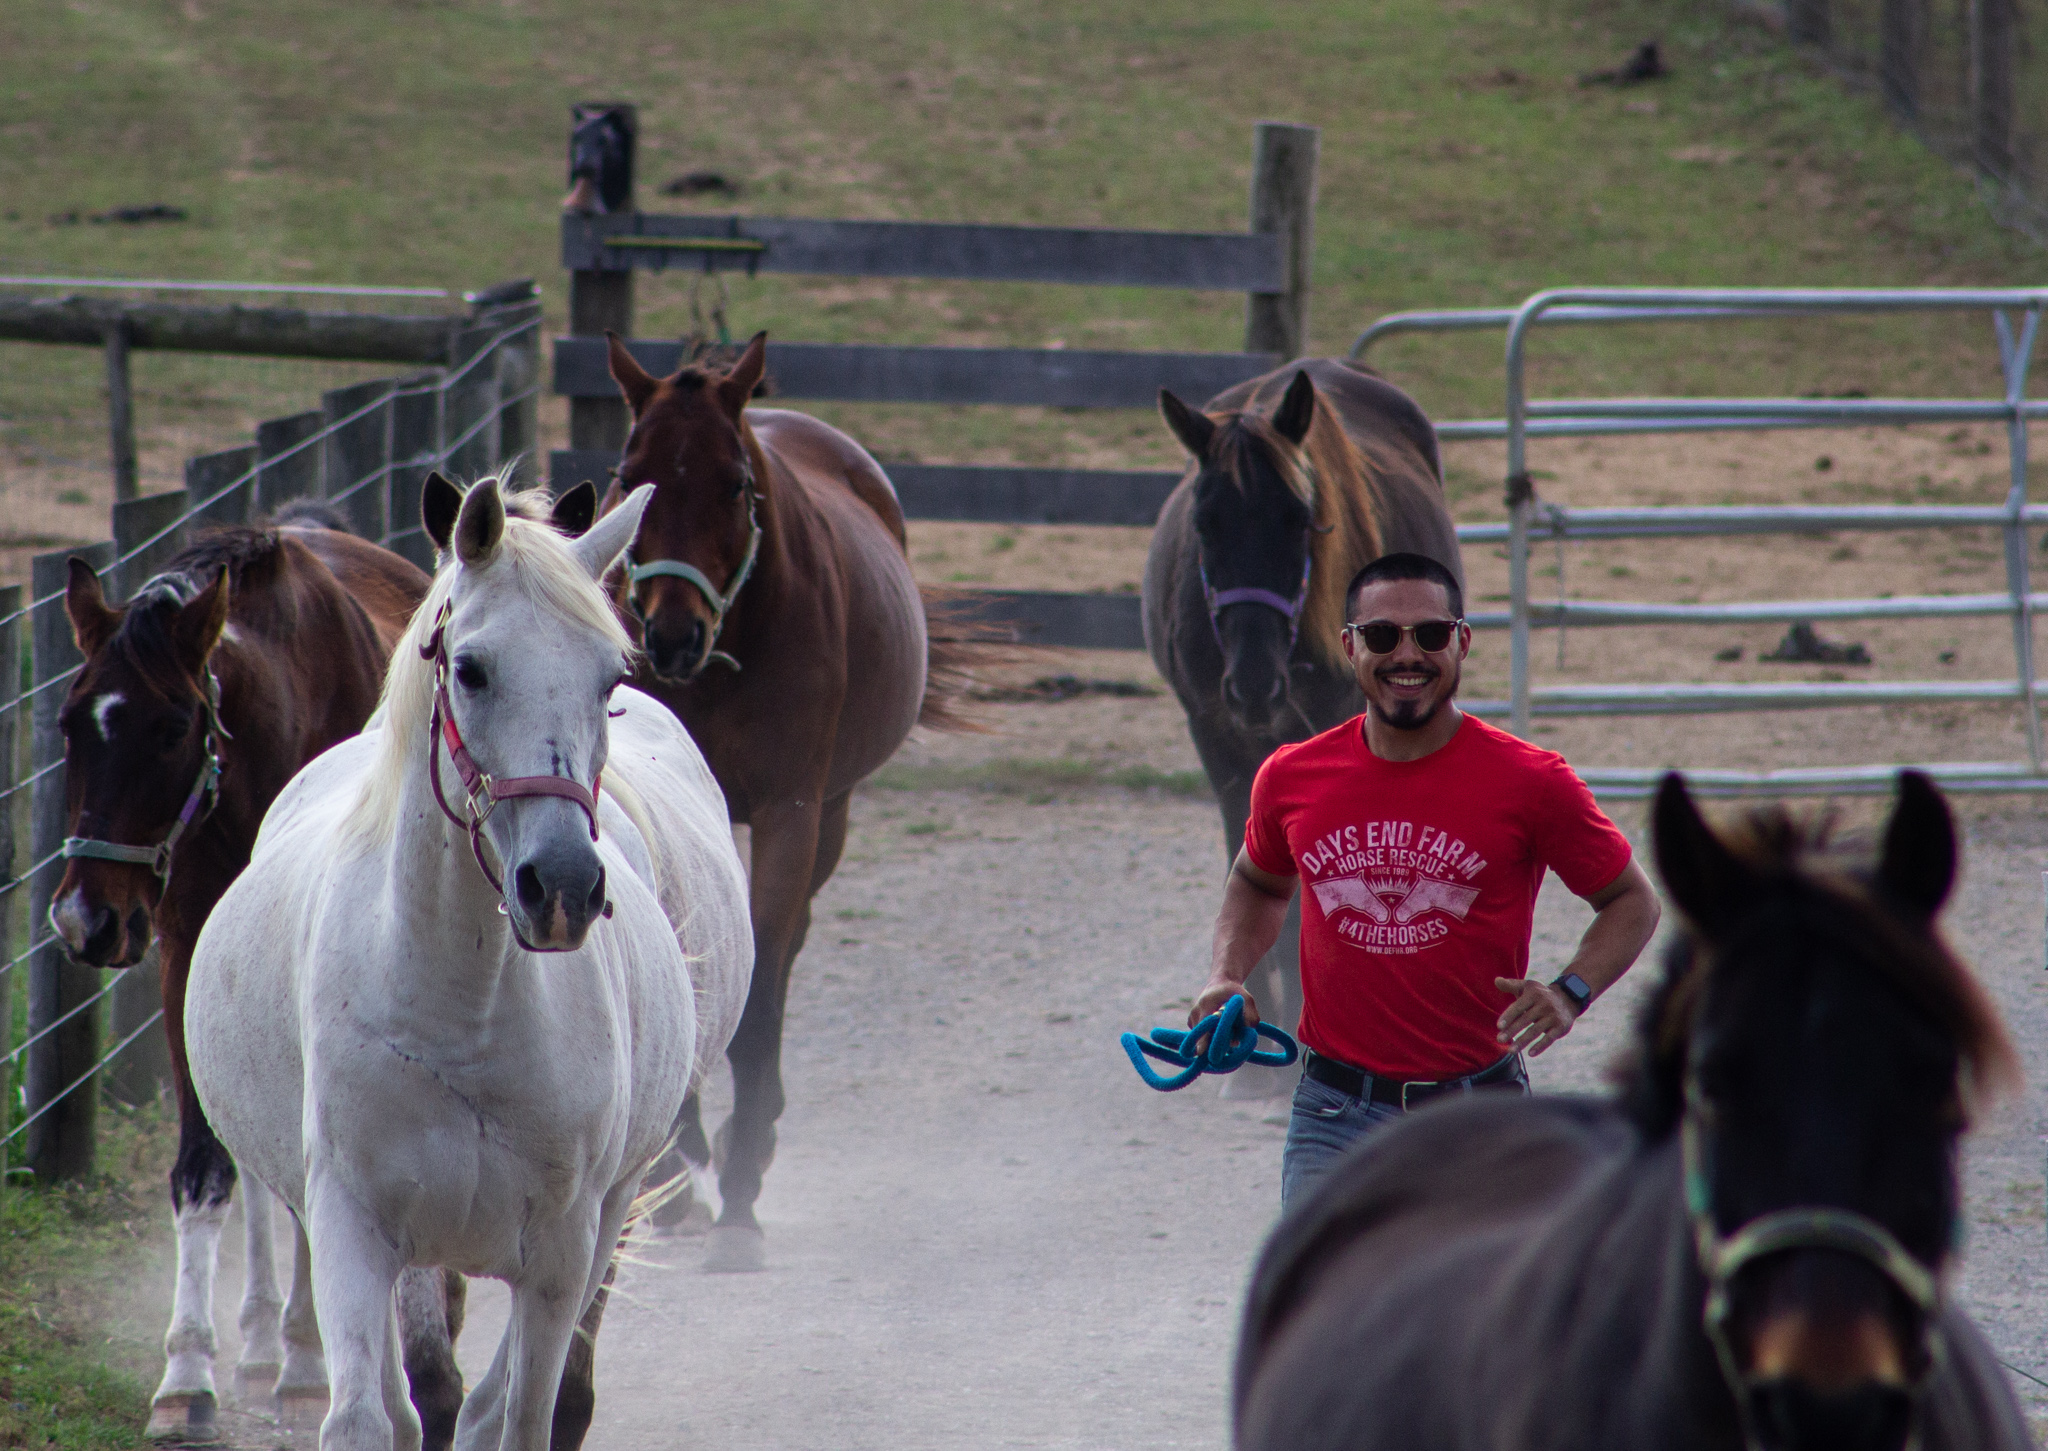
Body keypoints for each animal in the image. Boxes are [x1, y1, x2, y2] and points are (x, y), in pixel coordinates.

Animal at [186, 479, 753, 1451]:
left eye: (611, 679)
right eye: (473, 669)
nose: (560, 885)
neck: (461, 1011)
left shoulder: (561, 1251)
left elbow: (517, 1411)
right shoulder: (354, 1224)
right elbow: (377, 1413)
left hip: (608, 1209)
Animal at [598, 332, 983, 1270]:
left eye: (735, 482)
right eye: (631, 474)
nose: (670, 635)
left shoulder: (791, 812)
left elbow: (764, 982)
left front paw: (738, 1193)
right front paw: (678, 1175)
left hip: (832, 813)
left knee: (787, 945)